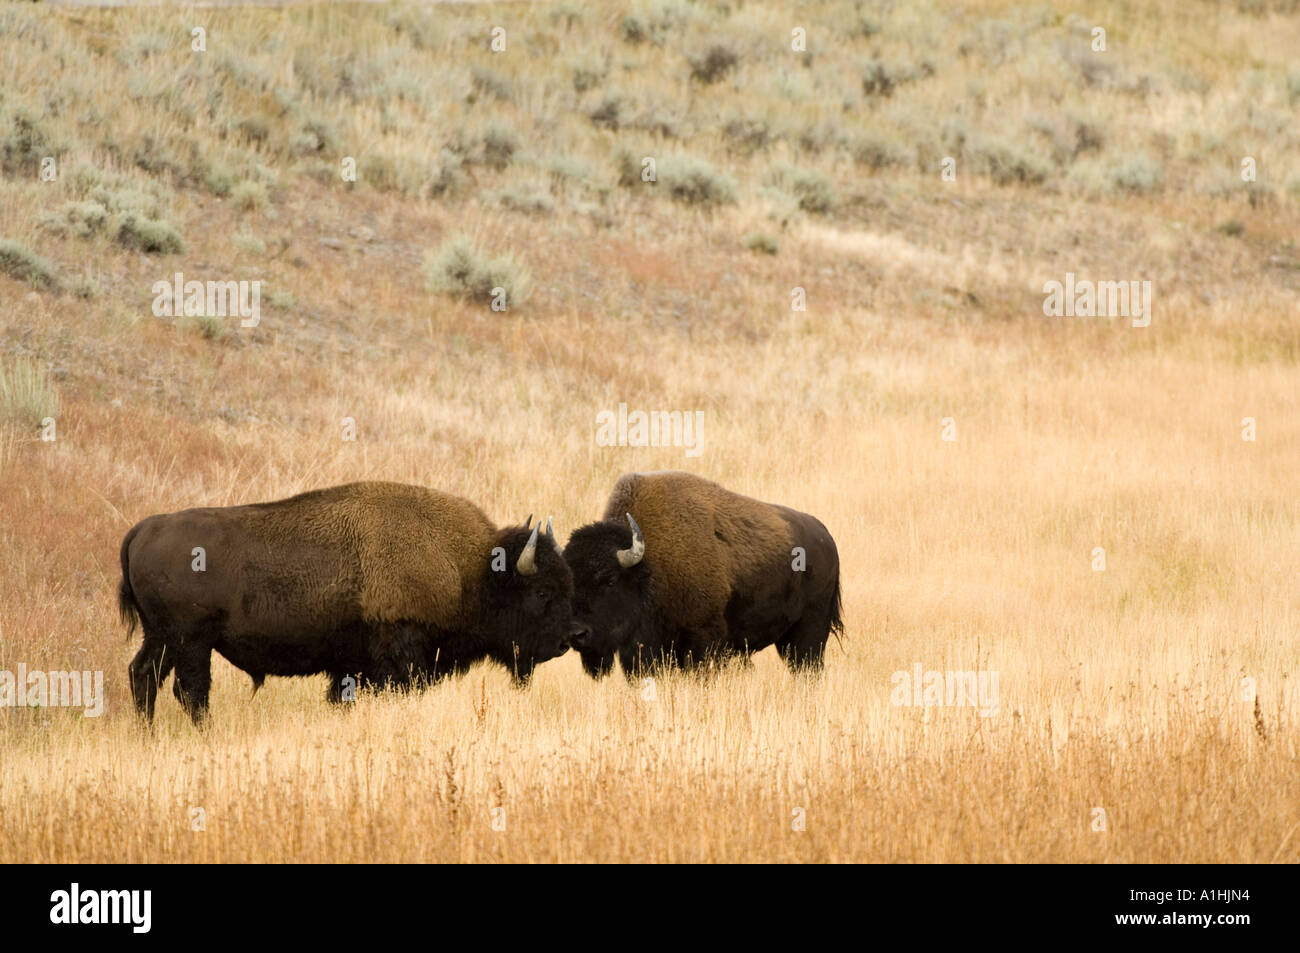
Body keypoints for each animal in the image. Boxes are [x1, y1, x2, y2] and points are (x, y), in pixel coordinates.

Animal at [119, 481, 577, 723]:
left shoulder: (350, 667)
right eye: (541, 592)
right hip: (191, 640)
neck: (471, 571)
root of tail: (144, 529)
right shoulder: (399, 659)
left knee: (143, 675)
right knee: (190, 690)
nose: (568, 640)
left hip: (161, 637)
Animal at [562, 471, 843, 678]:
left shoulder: (703, 641)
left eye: (609, 580)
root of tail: (826, 536)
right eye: (571, 584)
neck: (649, 566)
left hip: (810, 632)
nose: (577, 634)